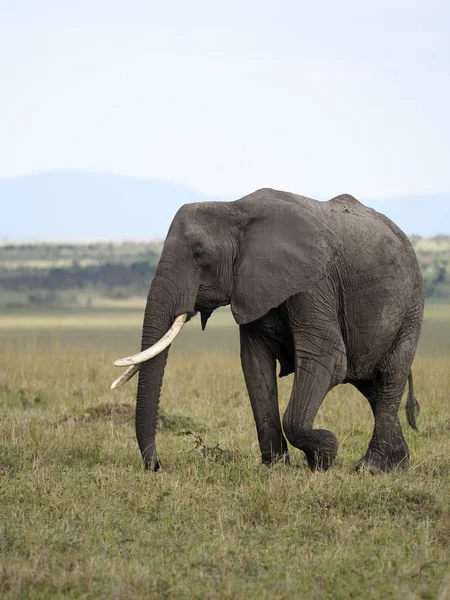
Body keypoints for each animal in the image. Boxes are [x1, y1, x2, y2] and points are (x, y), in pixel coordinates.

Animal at [110, 188, 424, 474]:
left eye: (200, 254)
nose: (156, 466)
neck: (233, 208)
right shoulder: (252, 288)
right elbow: (254, 363)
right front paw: (275, 467)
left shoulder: (315, 284)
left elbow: (328, 358)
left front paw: (324, 455)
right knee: (373, 389)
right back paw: (398, 464)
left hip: (410, 310)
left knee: (388, 379)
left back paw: (371, 468)